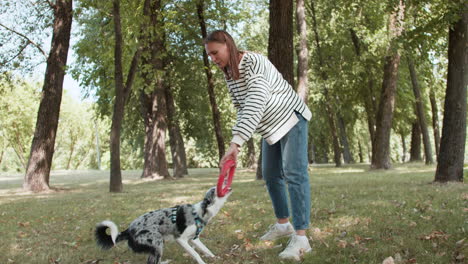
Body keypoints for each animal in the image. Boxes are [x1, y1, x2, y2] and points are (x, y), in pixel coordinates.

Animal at [95, 186, 232, 264]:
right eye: (214, 190)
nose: (228, 185)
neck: (199, 213)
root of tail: (128, 230)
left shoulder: (194, 239)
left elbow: (206, 250)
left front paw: (215, 258)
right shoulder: (181, 239)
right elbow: (196, 253)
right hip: (157, 242)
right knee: (152, 263)